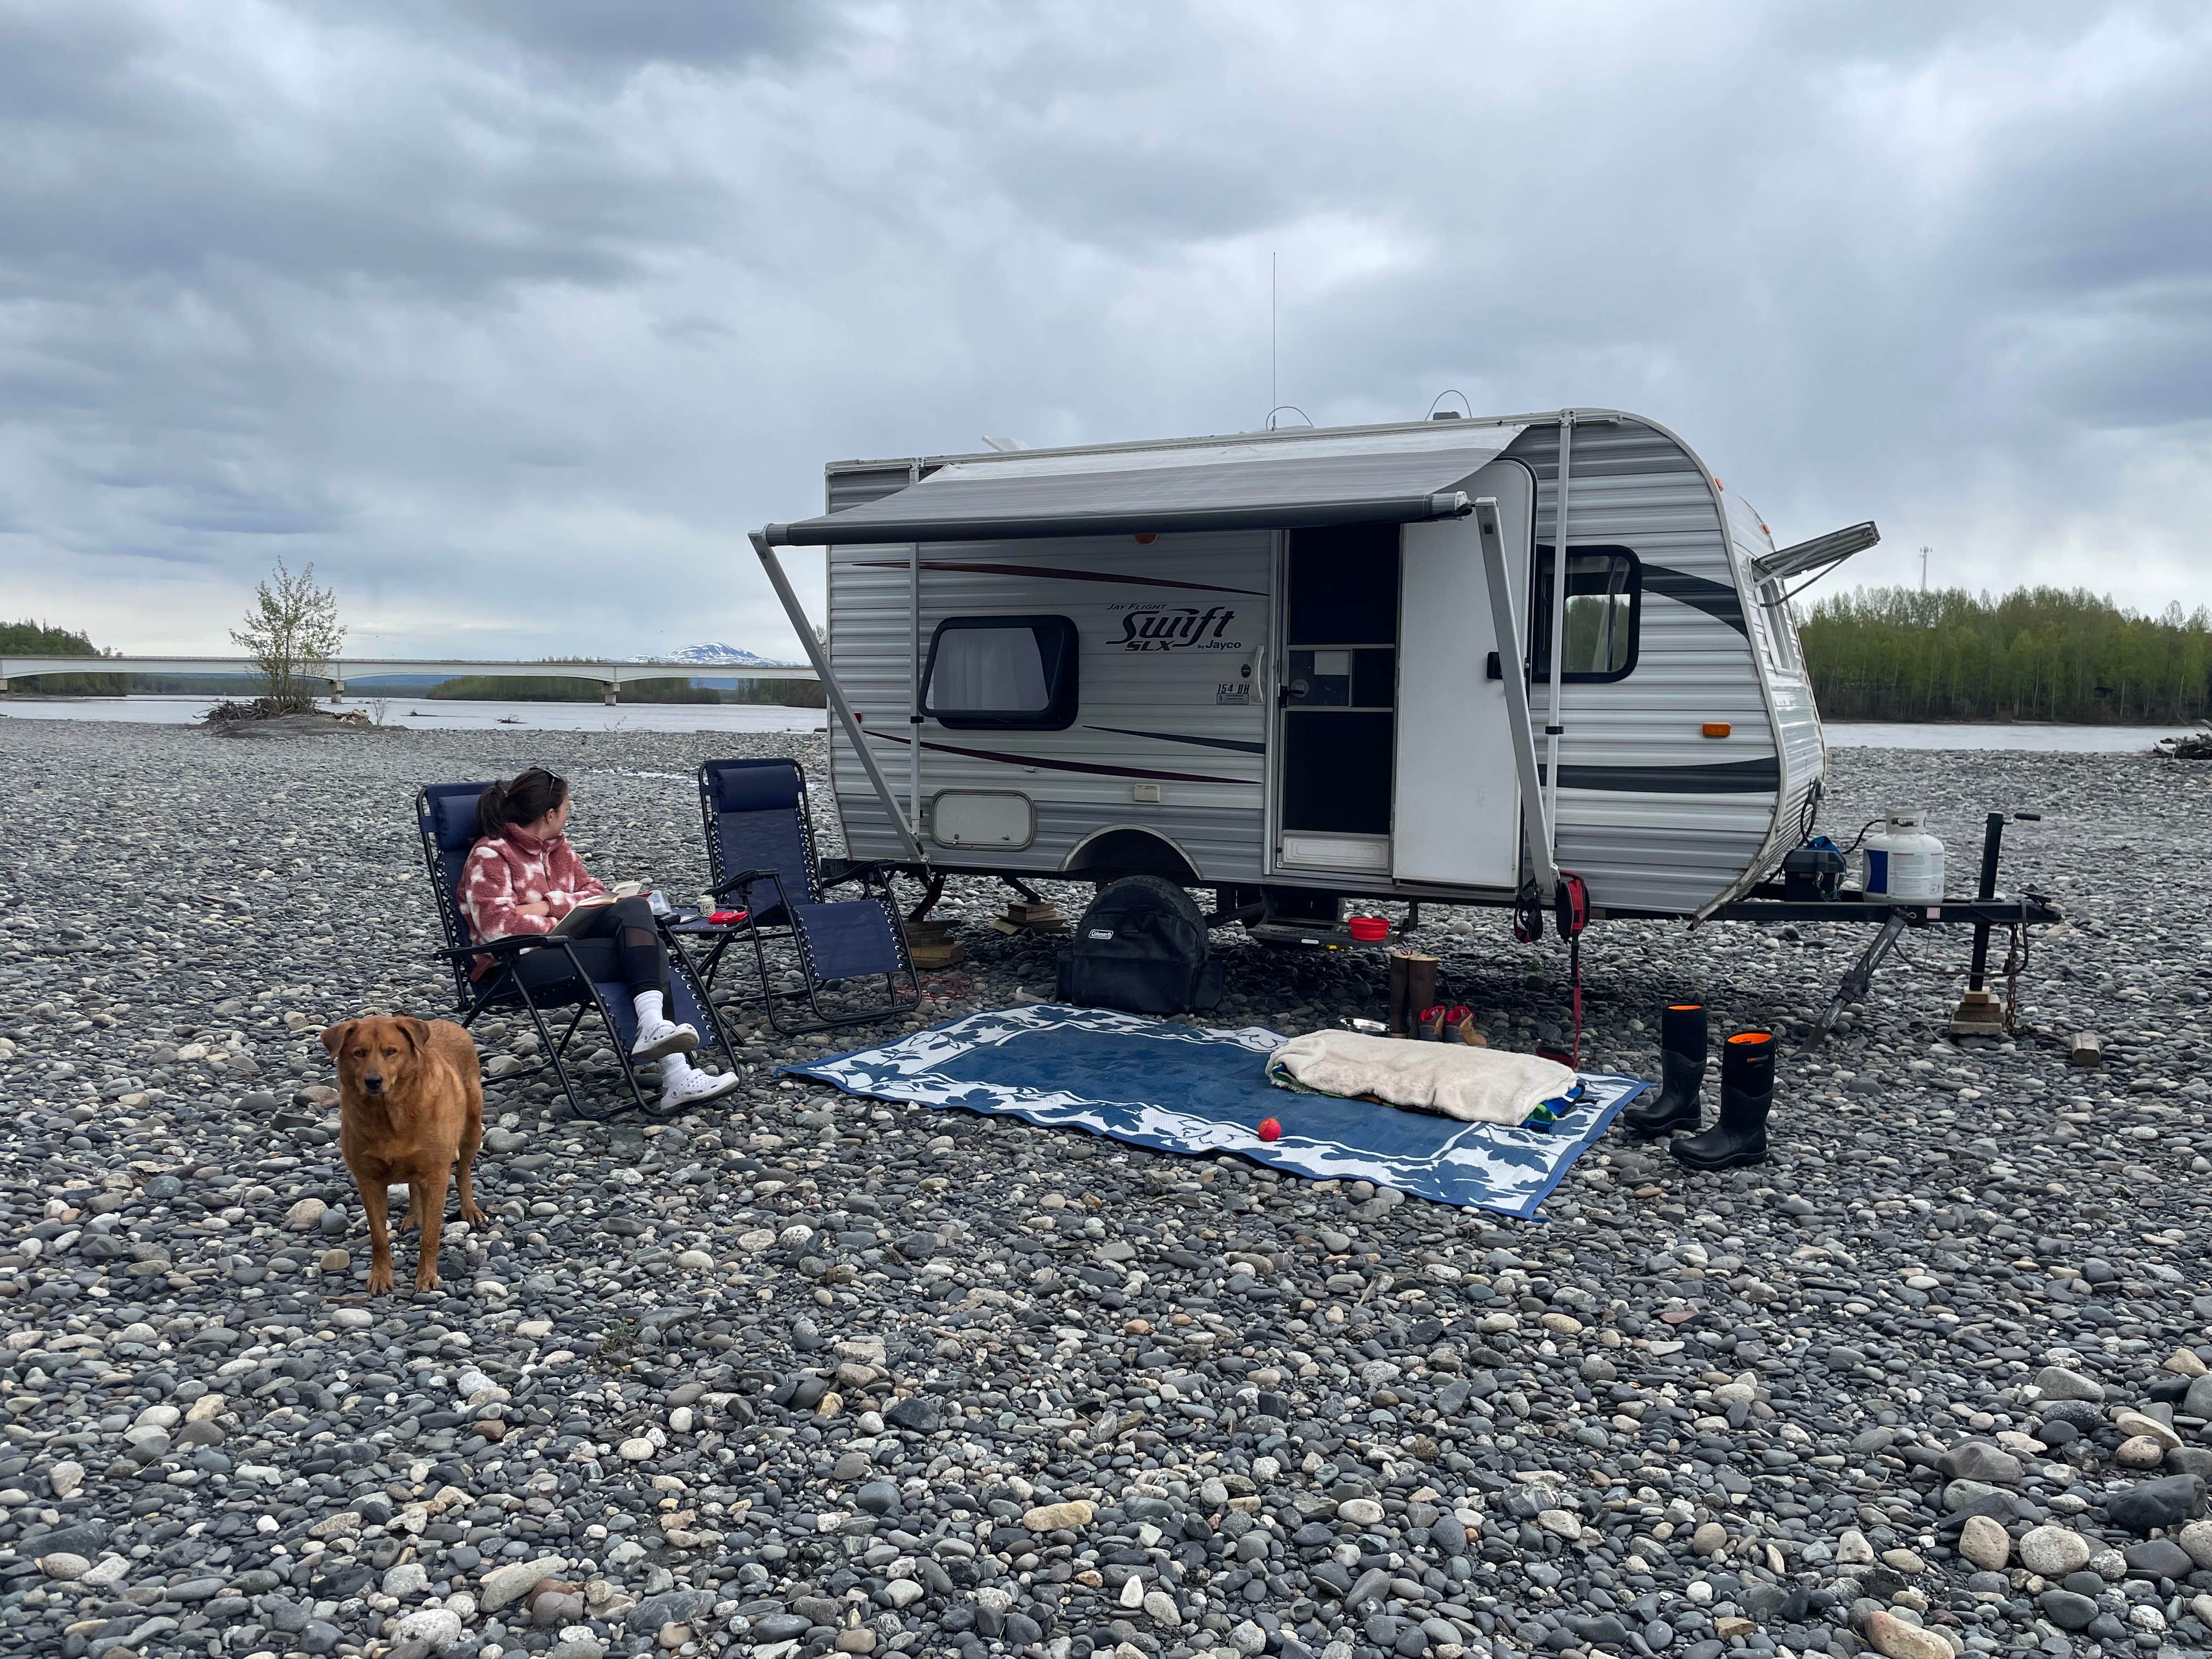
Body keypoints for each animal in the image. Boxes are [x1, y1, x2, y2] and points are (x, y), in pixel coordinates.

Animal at [320, 1013, 489, 1300]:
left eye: (392, 1051)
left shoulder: (436, 1176)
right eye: (359, 1053)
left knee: (463, 1172)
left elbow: (430, 1237)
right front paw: (380, 1277)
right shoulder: (368, 1181)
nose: (373, 1081)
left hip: (472, 1128)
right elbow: (379, 1237)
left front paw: (427, 1277)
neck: (389, 1115)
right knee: (413, 1185)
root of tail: (449, 1023)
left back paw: (470, 1209)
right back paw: (413, 1215)